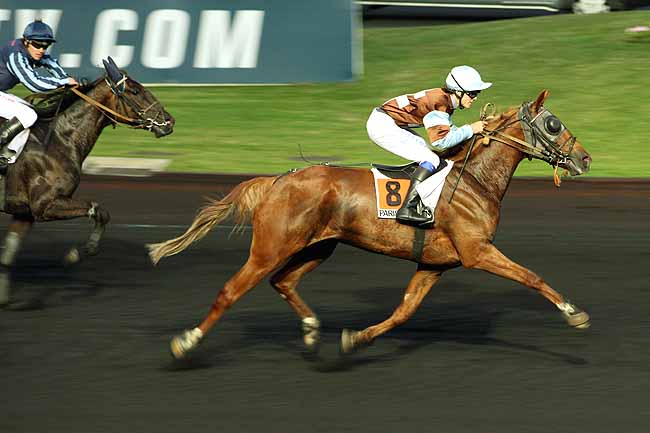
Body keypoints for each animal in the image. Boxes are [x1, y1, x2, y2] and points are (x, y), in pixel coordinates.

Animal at [0, 57, 175, 306]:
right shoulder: (45, 206)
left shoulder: (25, 213)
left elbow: (8, 253)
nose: (169, 121)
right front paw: (80, 252)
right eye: (135, 90)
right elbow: (99, 210)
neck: (59, 140)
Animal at [148, 90, 592, 358]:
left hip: (318, 246)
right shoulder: (477, 250)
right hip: (271, 247)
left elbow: (403, 311)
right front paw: (572, 312)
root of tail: (276, 181)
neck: (473, 179)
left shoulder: (434, 263)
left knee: (283, 282)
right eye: (553, 123)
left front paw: (355, 338)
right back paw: (187, 341)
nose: (585, 158)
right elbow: (532, 276)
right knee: (230, 290)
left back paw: (311, 328)